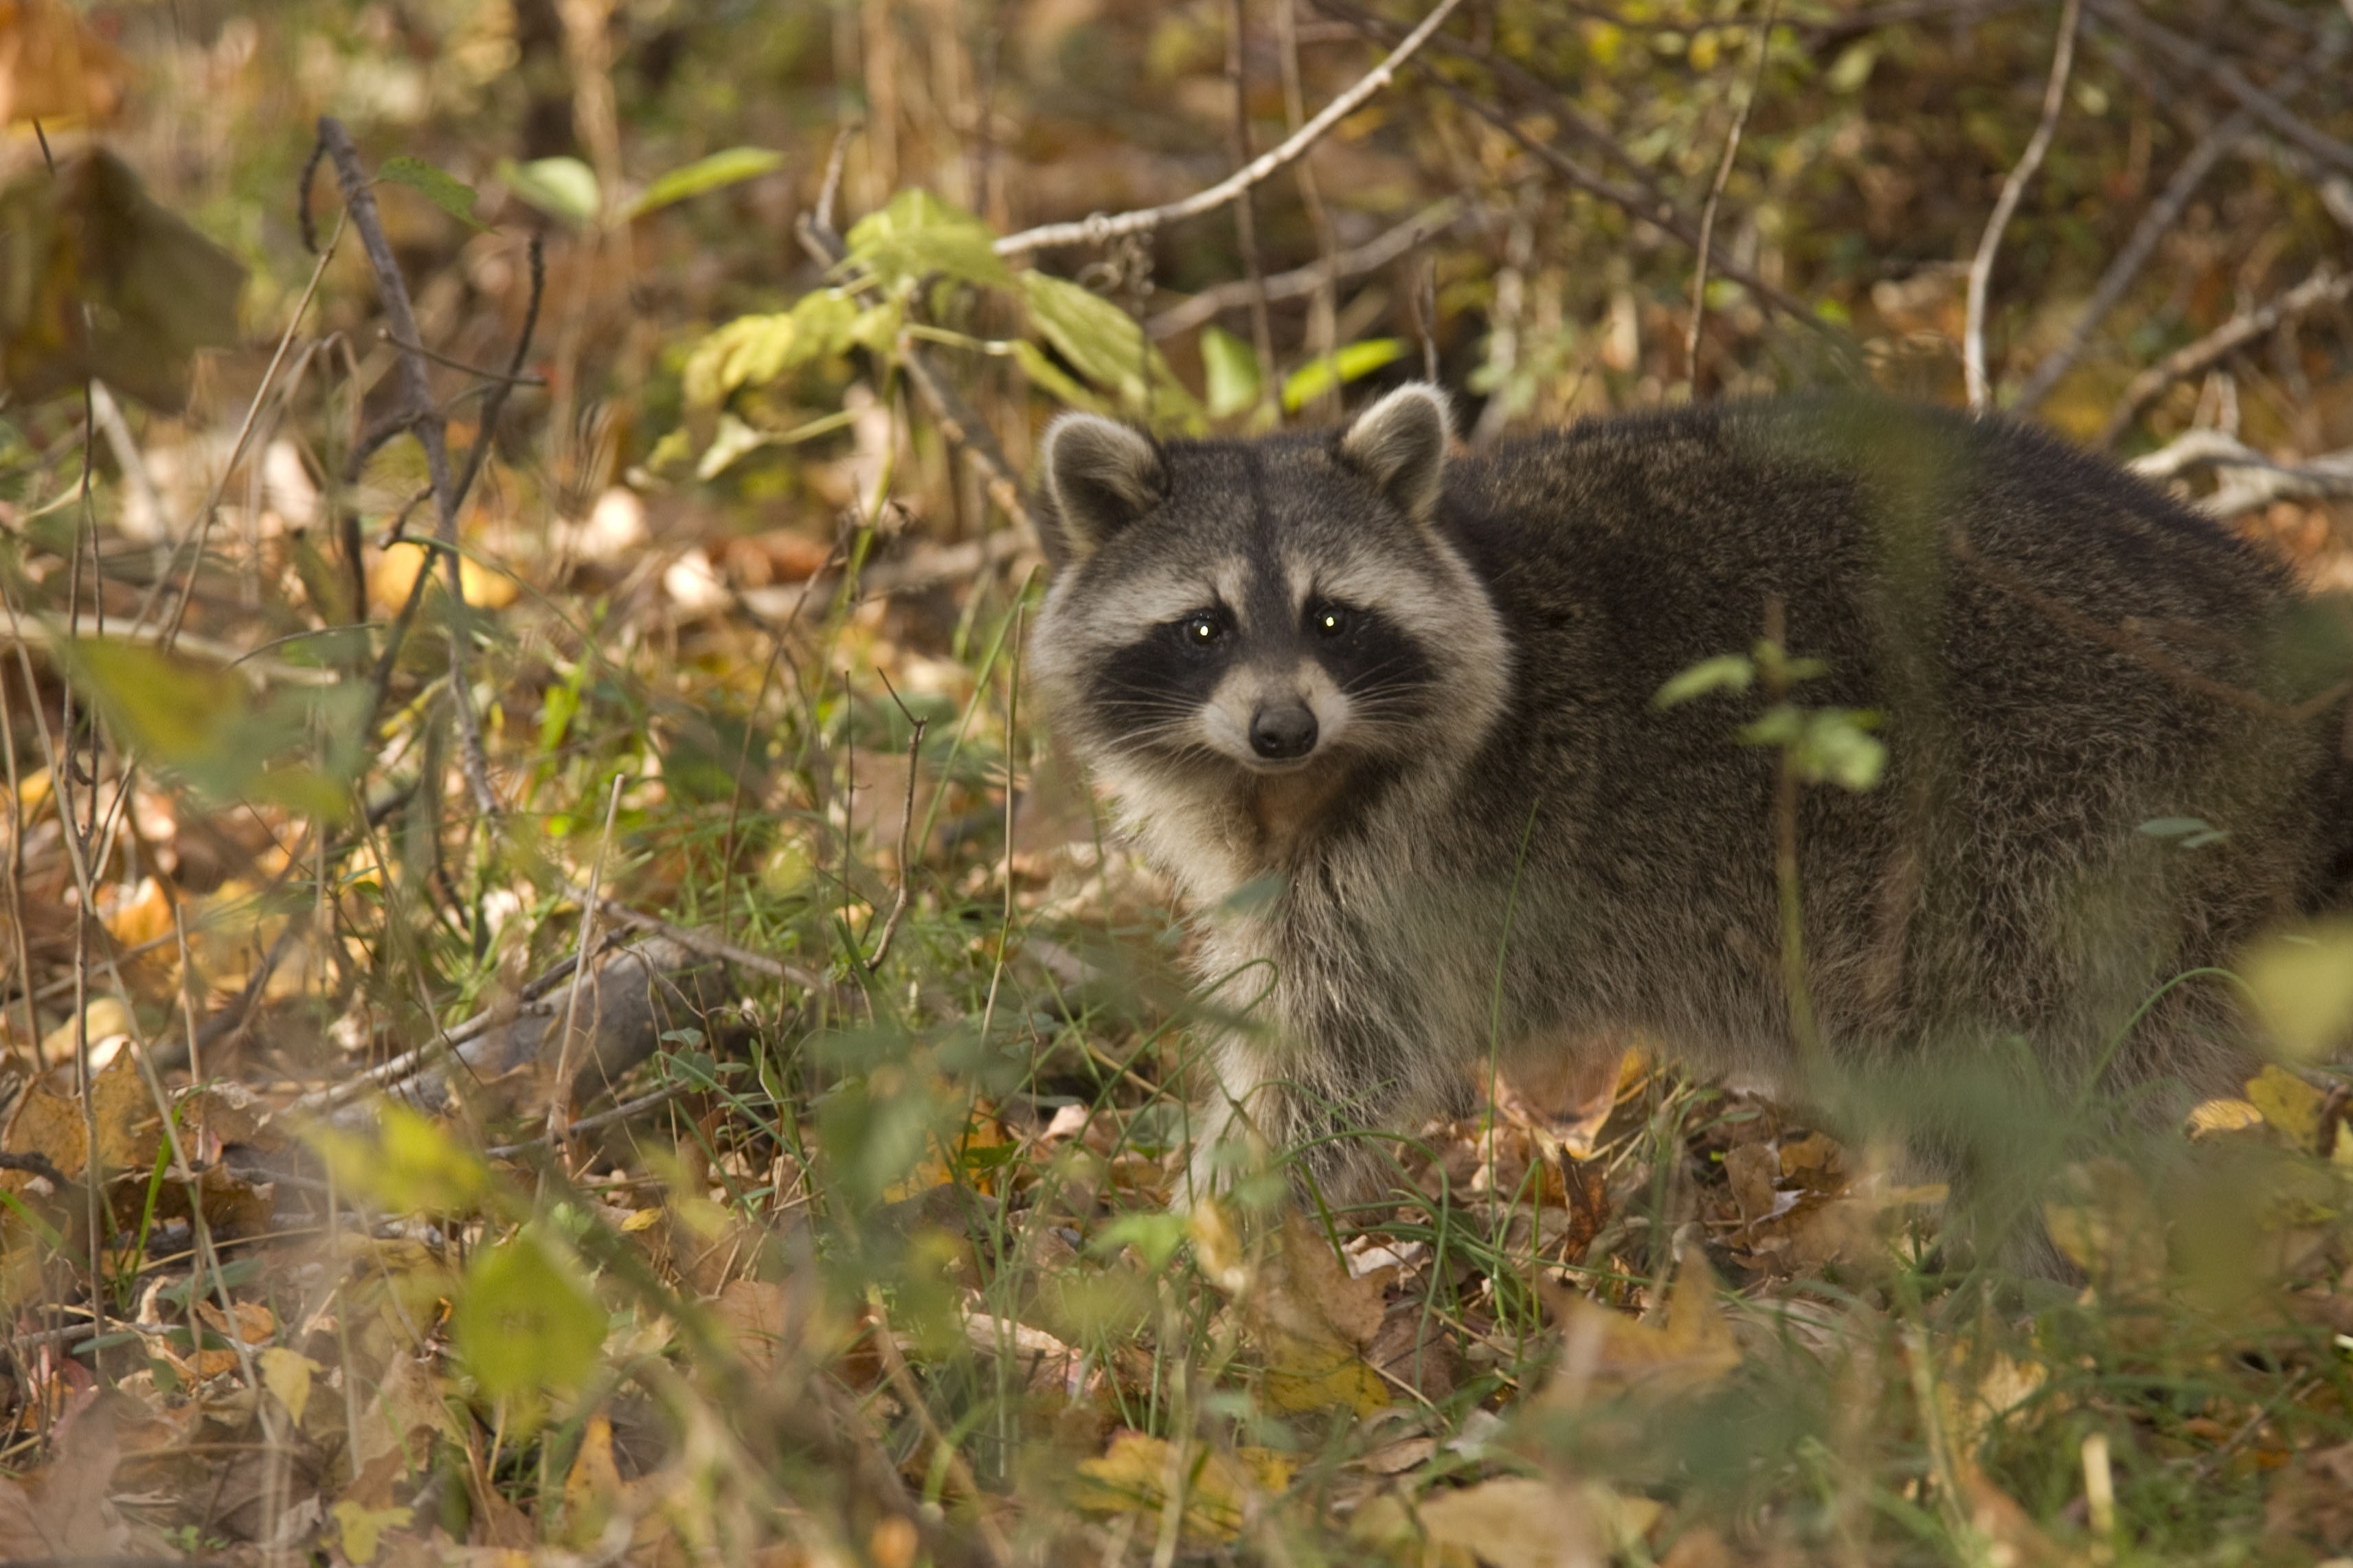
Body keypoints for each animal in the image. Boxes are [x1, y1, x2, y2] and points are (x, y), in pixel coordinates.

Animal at [1031, 385, 2353, 1213]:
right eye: (1204, 627)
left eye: (1332, 619)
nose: (1281, 725)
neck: (1291, 785)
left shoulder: (1407, 862)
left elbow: (1333, 1059)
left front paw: (1216, 1232)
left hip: (2060, 806)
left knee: (2005, 1053)